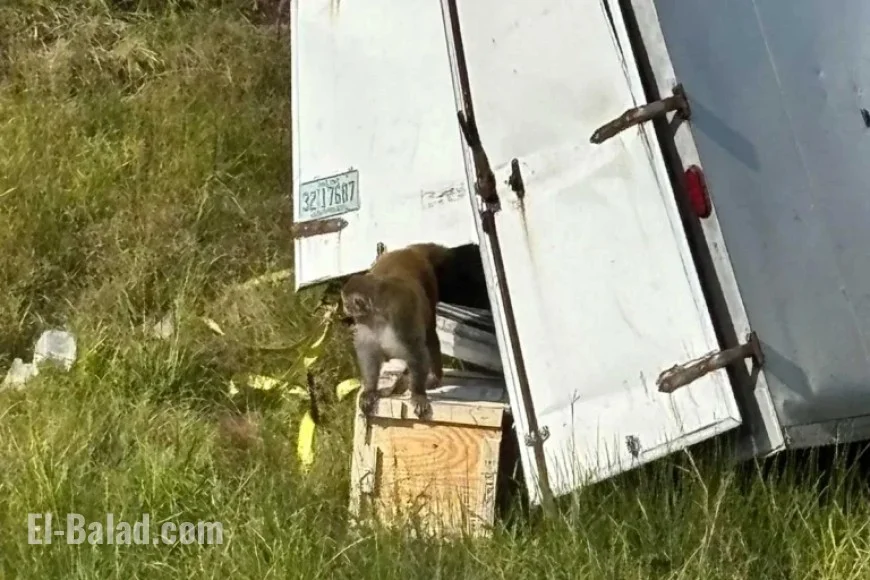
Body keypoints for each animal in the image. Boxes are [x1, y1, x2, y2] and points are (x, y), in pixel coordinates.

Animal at [341, 243, 449, 419]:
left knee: (430, 334)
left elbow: (416, 351)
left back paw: (434, 376)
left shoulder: (401, 317)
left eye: (346, 302)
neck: (377, 314)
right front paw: (370, 390)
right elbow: (369, 352)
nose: (344, 308)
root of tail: (408, 250)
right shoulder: (365, 322)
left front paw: (418, 394)